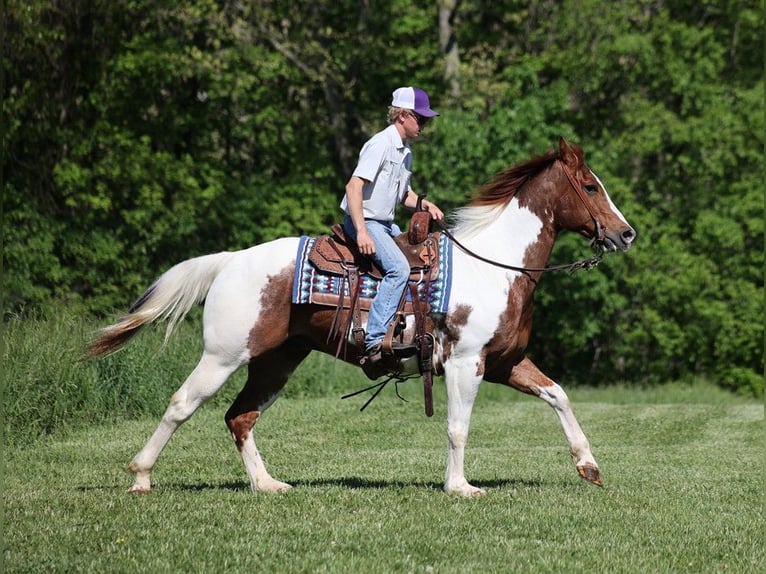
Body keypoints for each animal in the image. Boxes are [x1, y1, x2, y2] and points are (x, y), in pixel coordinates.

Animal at [85, 137, 636, 498]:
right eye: (590, 186)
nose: (626, 233)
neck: (496, 266)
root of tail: (230, 260)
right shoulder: (466, 364)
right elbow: (458, 427)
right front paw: (460, 487)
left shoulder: (504, 362)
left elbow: (558, 395)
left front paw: (588, 466)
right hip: (223, 355)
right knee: (182, 405)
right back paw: (141, 477)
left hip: (276, 361)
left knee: (240, 416)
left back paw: (268, 484)